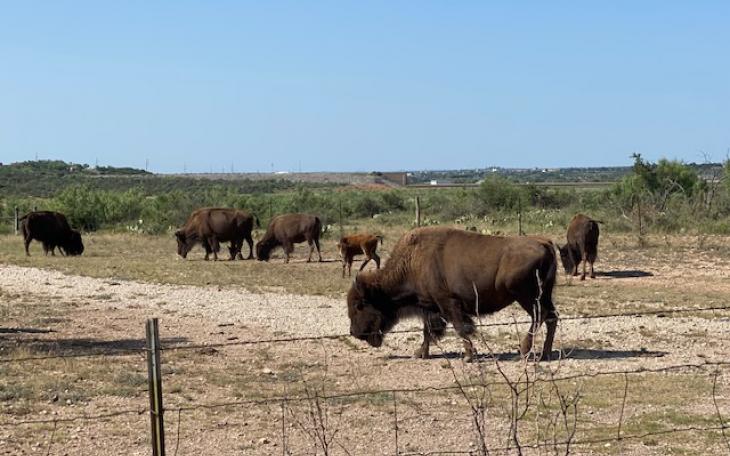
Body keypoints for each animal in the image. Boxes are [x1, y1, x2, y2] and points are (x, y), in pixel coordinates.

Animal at [347, 227, 558, 362]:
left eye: (359, 305)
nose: (354, 333)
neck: (413, 261)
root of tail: (544, 242)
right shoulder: (430, 307)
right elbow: (428, 330)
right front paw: (421, 353)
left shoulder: (448, 304)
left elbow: (460, 328)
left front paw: (468, 356)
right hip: (544, 295)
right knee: (552, 317)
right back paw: (546, 353)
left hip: (526, 296)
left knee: (540, 316)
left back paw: (524, 350)